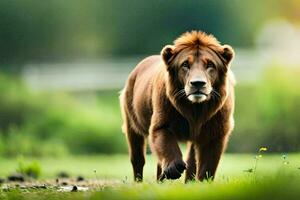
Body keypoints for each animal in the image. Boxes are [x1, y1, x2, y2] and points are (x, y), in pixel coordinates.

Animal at [119, 30, 234, 182]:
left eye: (210, 65)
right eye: (185, 64)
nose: (198, 83)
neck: (195, 110)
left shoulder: (215, 130)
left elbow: (207, 164)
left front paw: (202, 182)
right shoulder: (162, 121)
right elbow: (166, 143)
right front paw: (174, 168)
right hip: (131, 121)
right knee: (137, 157)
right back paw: (140, 181)